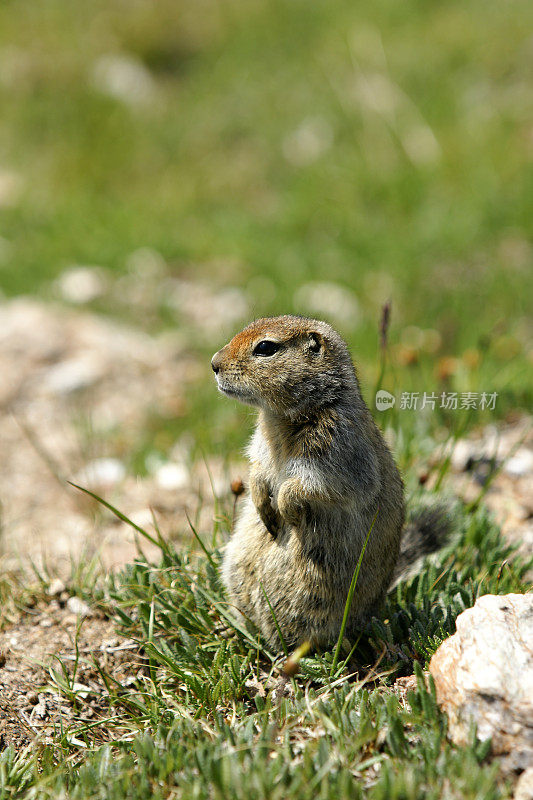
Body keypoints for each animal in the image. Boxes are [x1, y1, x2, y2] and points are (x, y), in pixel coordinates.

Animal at [212, 314, 448, 648]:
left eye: (266, 347)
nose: (213, 364)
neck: (281, 417)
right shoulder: (261, 444)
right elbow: (257, 470)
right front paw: (264, 508)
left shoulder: (336, 447)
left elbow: (317, 485)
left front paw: (287, 510)